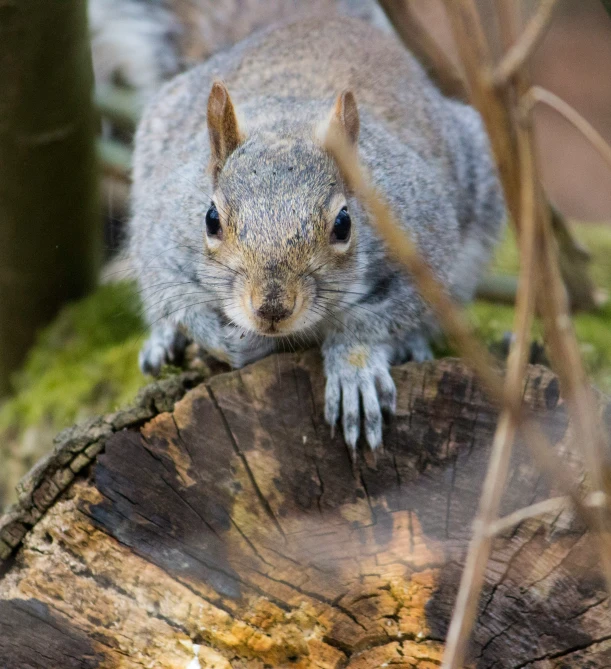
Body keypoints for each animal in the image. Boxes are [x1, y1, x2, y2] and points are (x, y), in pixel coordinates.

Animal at [130, 15, 506, 452]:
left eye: (343, 224)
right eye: (210, 219)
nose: (271, 308)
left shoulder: (426, 238)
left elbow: (378, 318)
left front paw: (354, 369)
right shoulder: (161, 230)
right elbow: (176, 297)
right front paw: (226, 341)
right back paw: (163, 341)